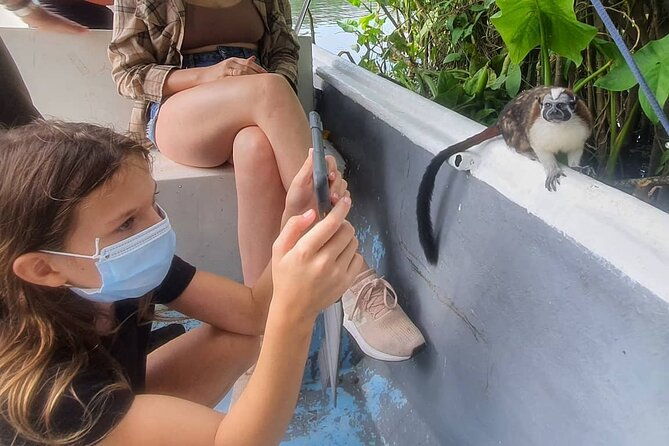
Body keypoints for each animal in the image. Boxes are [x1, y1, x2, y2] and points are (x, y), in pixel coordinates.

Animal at [417, 86, 593, 264]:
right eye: (548, 105)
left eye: (561, 106)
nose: (553, 112)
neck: (559, 126)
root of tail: (500, 121)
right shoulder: (537, 130)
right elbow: (541, 149)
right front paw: (552, 170)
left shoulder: (582, 124)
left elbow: (575, 149)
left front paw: (577, 167)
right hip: (511, 129)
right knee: (519, 136)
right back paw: (525, 151)